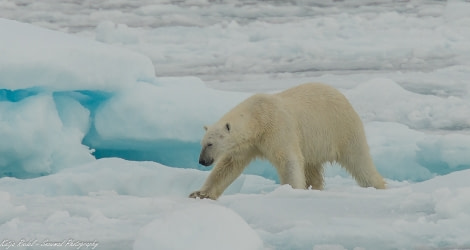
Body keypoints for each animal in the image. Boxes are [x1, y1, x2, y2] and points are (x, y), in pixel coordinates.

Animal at [189, 83, 388, 200]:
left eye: (210, 144)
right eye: (202, 143)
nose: (202, 161)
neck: (258, 117)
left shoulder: (277, 128)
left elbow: (288, 160)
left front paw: (291, 191)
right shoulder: (248, 144)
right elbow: (228, 166)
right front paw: (200, 193)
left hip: (341, 128)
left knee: (360, 161)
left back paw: (379, 186)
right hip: (314, 144)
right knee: (312, 169)